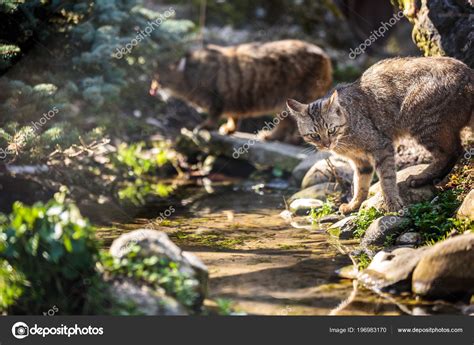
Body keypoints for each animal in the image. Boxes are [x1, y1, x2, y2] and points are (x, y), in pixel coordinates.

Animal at [286, 56, 472, 212]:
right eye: (315, 135)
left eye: (331, 130)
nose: (326, 144)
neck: (345, 139)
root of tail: (468, 73)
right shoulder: (360, 162)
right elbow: (360, 184)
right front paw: (355, 204)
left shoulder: (382, 147)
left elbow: (386, 178)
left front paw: (392, 201)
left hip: (423, 123)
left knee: (451, 152)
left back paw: (420, 178)